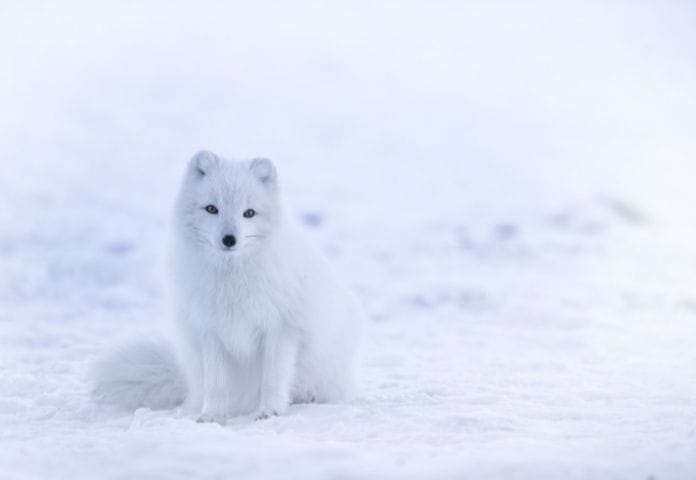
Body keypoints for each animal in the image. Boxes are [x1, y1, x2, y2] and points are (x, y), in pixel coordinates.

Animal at [91, 151, 364, 422]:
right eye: (212, 209)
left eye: (249, 213)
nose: (229, 239)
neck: (232, 279)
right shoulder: (211, 332)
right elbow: (216, 384)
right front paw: (212, 415)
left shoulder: (280, 329)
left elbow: (272, 379)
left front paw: (269, 411)